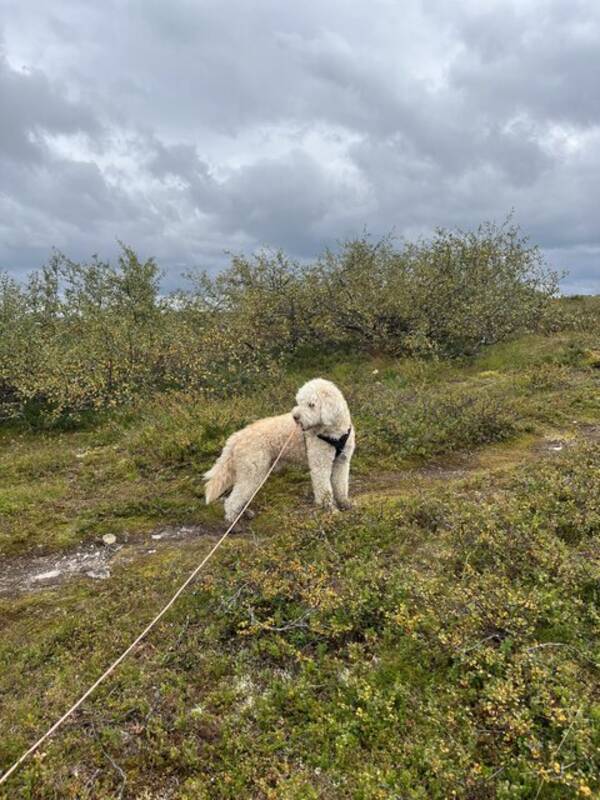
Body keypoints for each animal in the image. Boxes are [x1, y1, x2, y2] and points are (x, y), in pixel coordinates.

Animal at [204, 378, 354, 520]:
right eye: (299, 402)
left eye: (311, 404)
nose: (295, 417)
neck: (335, 433)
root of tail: (238, 436)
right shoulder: (320, 465)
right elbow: (324, 490)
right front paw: (330, 510)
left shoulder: (342, 462)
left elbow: (341, 485)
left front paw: (344, 503)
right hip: (252, 473)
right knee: (233, 500)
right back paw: (232, 520)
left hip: (247, 472)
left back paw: (245, 513)